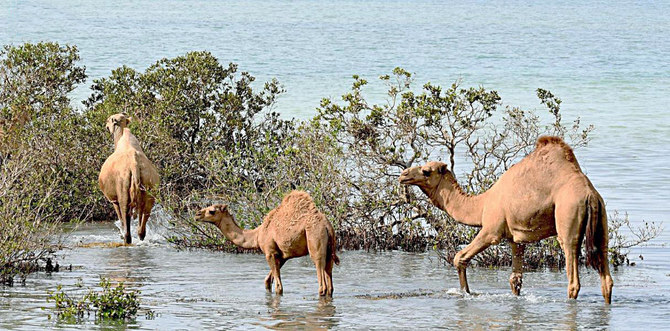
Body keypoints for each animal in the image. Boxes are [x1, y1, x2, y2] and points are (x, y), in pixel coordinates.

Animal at [98, 113, 160, 245]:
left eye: (108, 120)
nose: (106, 126)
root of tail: (134, 163)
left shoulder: (114, 200)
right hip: (150, 189)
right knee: (144, 217)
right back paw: (141, 236)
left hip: (123, 189)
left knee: (126, 216)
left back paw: (126, 239)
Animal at [194, 191, 342, 296]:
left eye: (212, 211)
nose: (197, 214)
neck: (258, 234)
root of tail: (327, 226)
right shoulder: (282, 256)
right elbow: (267, 280)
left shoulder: (269, 252)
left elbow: (279, 288)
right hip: (330, 249)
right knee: (330, 284)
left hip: (315, 240)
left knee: (322, 283)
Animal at [400, 136, 616, 304]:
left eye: (426, 171)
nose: (403, 175)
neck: (482, 204)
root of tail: (589, 194)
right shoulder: (516, 239)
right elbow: (515, 279)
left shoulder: (491, 230)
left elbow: (459, 257)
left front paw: (466, 294)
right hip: (602, 223)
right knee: (606, 275)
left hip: (568, 216)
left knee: (572, 276)